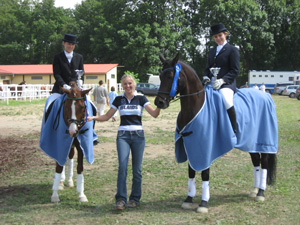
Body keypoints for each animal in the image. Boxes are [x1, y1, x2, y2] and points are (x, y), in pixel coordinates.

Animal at [155, 53, 276, 214]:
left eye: (170, 76)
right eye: (160, 76)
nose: (159, 102)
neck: (196, 106)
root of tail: (266, 96)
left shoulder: (205, 147)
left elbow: (205, 173)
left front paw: (203, 203)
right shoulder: (190, 144)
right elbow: (191, 171)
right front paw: (188, 199)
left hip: (264, 140)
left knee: (265, 163)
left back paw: (261, 193)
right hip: (251, 143)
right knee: (256, 161)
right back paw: (254, 190)